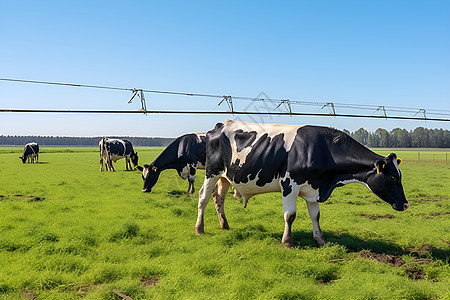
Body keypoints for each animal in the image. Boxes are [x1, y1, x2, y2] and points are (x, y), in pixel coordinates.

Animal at [195, 119, 410, 248]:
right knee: (203, 197)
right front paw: (287, 242)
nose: (406, 204)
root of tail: (222, 124)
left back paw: (224, 225)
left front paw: (320, 239)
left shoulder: (313, 187)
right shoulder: (289, 185)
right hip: (212, 172)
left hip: (226, 177)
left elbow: (316, 215)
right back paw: (199, 228)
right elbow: (290, 215)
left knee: (218, 198)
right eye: (393, 178)